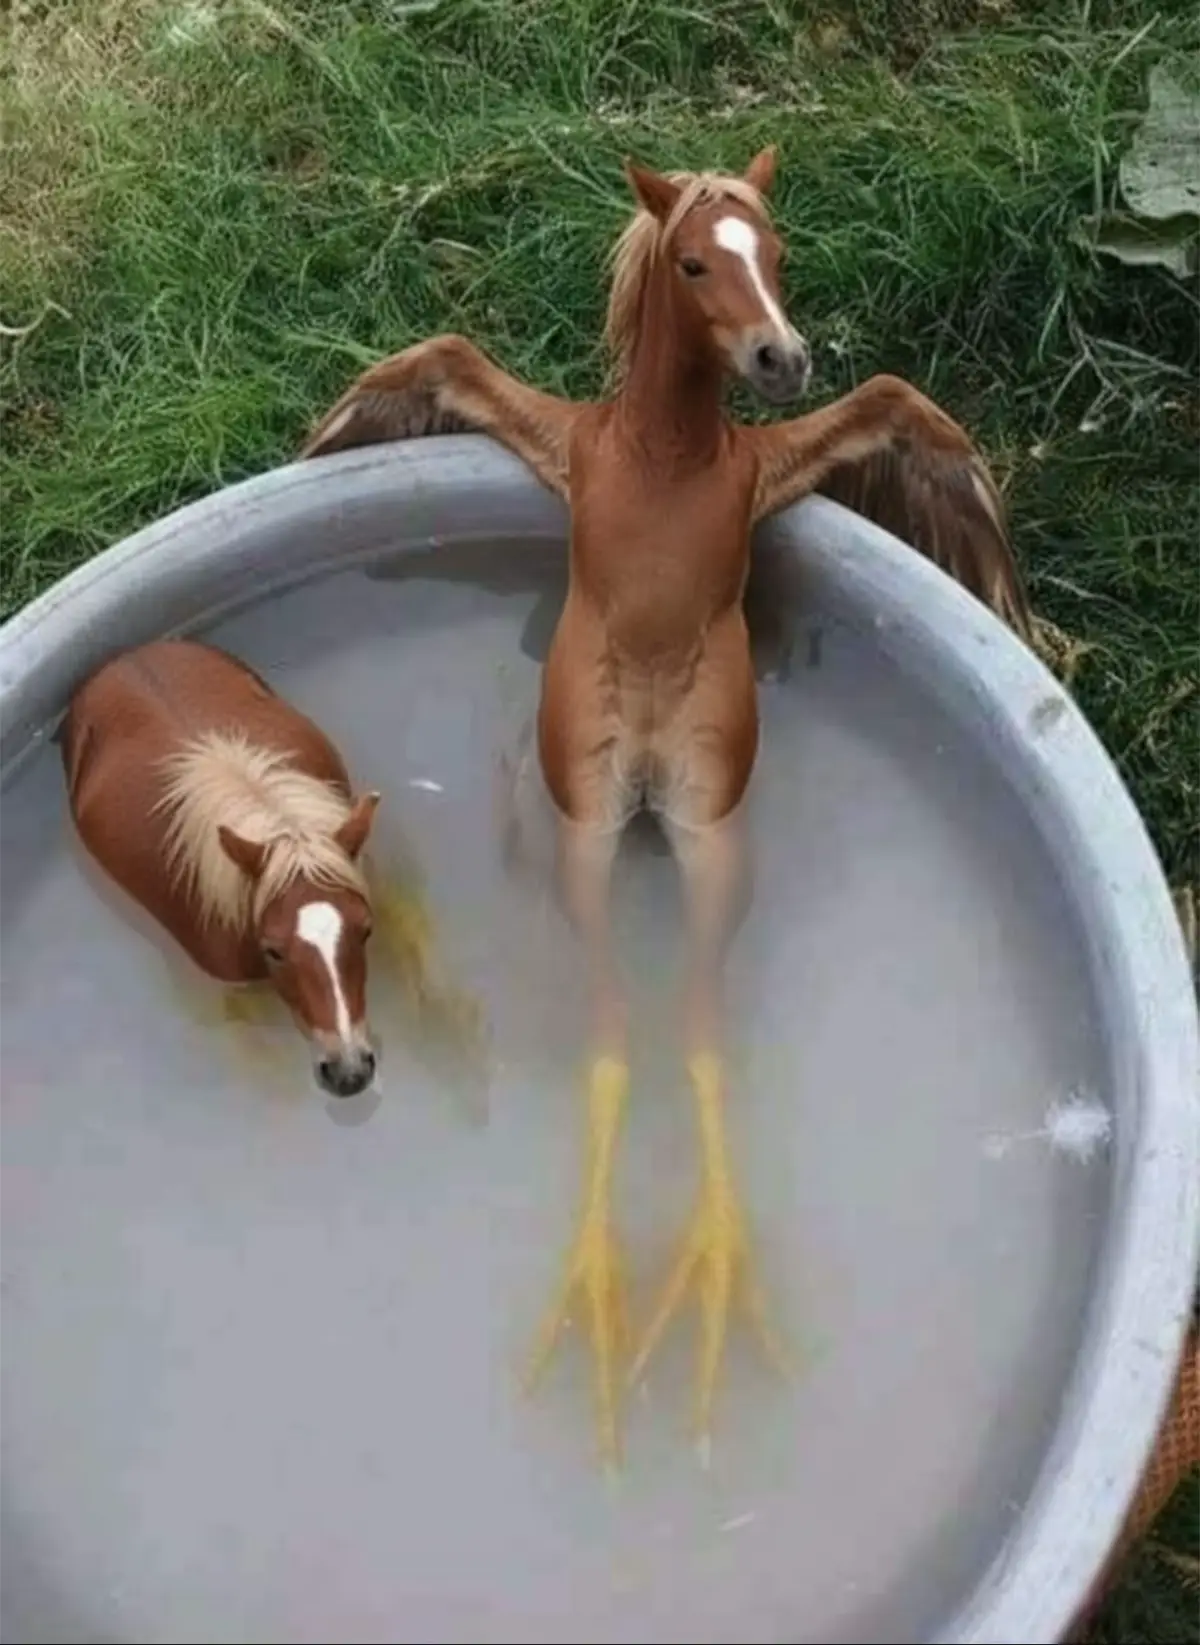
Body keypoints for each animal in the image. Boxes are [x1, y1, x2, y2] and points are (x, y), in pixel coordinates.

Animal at [297, 146, 1031, 1464]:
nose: (781, 356)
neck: (665, 454)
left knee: (672, 1035)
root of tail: (643, 757)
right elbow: (428, 361)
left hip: (682, 827)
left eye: (775, 251)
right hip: (611, 827)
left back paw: (682, 1282)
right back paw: (620, 1292)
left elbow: (911, 410)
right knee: (630, 1038)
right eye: (694, 261)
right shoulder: (554, 433)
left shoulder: (783, 459)